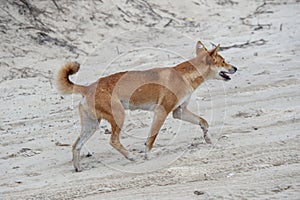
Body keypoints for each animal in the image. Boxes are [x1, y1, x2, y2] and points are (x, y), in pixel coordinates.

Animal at [57, 41, 237, 172]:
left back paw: (78, 168)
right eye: (223, 62)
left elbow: (203, 121)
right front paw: (147, 156)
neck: (184, 76)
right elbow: (152, 138)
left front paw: (207, 137)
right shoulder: (162, 111)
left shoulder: (179, 111)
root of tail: (87, 88)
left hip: (92, 124)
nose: (235, 68)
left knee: (76, 145)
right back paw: (131, 156)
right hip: (119, 116)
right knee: (113, 141)